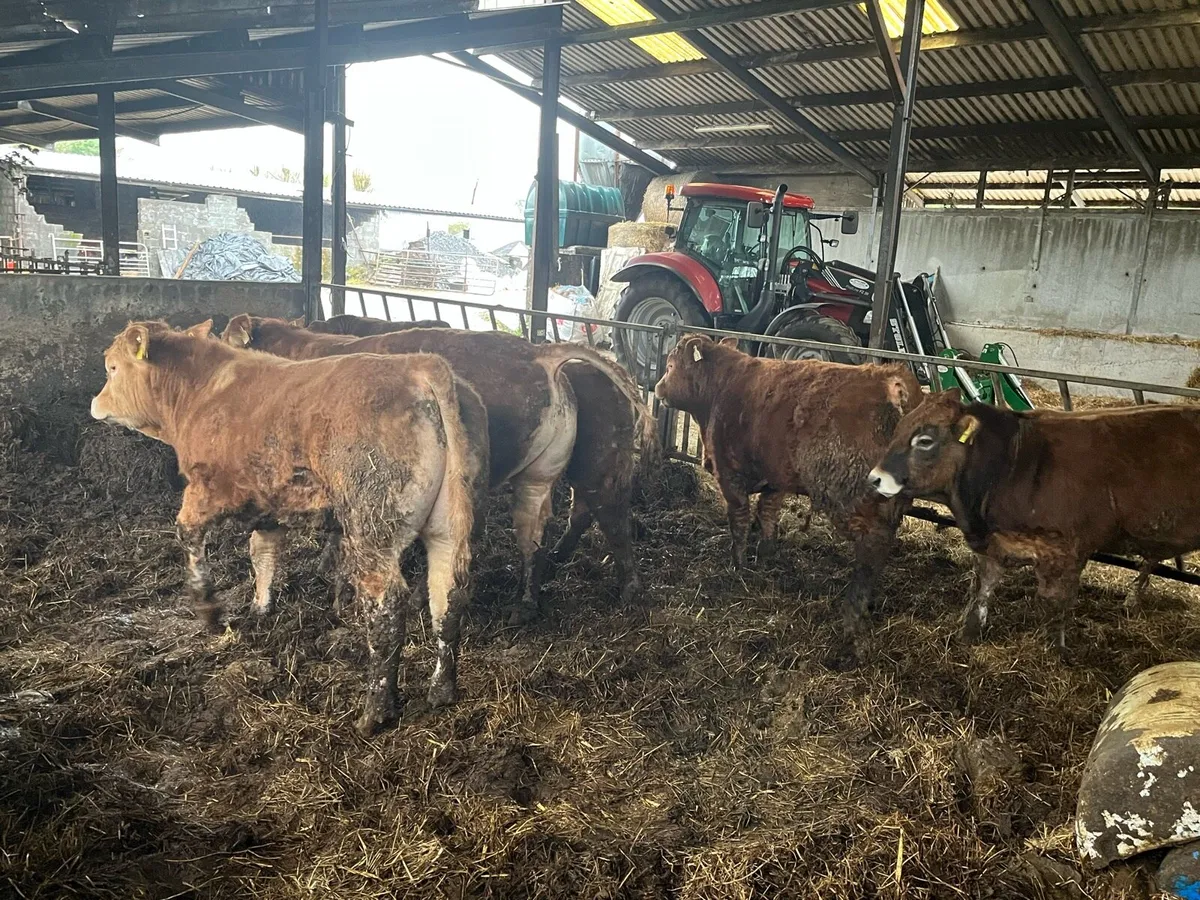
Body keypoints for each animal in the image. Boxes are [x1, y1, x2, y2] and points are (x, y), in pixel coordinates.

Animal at [90, 320, 487, 736]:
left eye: (112, 368)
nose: (96, 403)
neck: (204, 391)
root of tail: (421, 366)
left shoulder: (208, 489)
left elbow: (188, 534)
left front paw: (208, 608)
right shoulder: (269, 502)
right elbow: (262, 553)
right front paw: (260, 607)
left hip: (372, 525)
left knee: (387, 605)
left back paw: (375, 712)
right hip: (449, 526)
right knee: (448, 594)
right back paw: (442, 690)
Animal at [222, 314, 650, 618]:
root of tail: (539, 354)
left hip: (595, 470)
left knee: (611, 519)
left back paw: (628, 590)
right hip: (540, 477)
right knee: (536, 532)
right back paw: (527, 602)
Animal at [654, 334, 922, 642]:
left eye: (671, 365)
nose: (658, 387)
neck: (722, 386)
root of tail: (893, 380)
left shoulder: (729, 474)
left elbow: (739, 520)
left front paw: (738, 563)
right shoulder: (776, 479)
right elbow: (767, 514)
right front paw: (766, 554)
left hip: (855, 496)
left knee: (872, 547)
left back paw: (855, 608)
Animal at [868, 389, 1200, 646]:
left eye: (924, 440)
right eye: (898, 428)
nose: (874, 478)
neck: (1010, 465)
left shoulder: (1065, 552)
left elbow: (1056, 605)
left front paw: (1057, 653)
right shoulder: (993, 543)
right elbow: (981, 591)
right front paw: (968, 635)